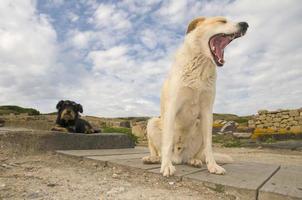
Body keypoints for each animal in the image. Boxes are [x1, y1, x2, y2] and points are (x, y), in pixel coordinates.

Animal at [143, 17, 249, 177]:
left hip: (198, 127)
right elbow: (167, 143)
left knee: (195, 155)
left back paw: (194, 161)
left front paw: (213, 166)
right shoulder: (172, 108)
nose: (245, 24)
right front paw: (166, 166)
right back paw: (154, 159)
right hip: (153, 122)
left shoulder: (207, 113)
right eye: (222, 21)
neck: (201, 66)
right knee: (158, 151)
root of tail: (178, 158)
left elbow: (209, 145)